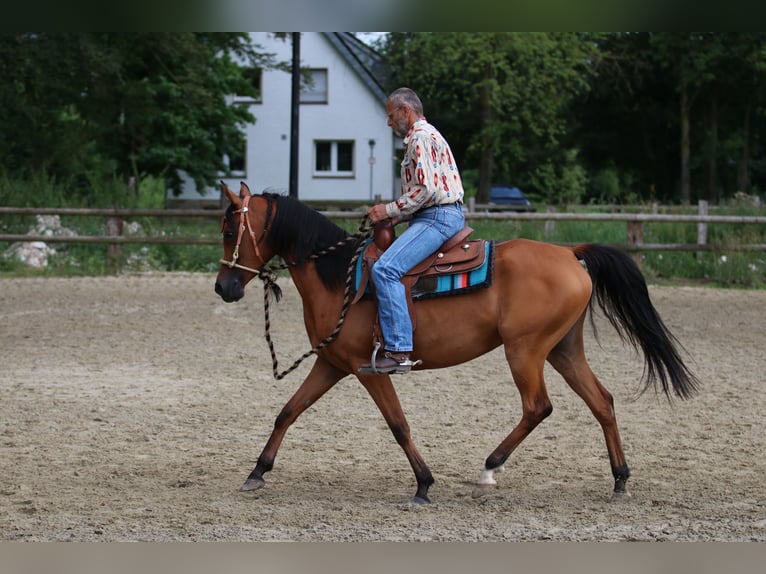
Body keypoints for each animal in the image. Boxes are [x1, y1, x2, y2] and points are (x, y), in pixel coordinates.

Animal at [213, 182, 700, 506]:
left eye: (228, 230)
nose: (223, 287)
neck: (341, 278)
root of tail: (569, 252)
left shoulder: (369, 370)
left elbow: (398, 425)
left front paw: (424, 484)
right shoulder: (331, 363)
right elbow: (288, 411)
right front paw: (257, 471)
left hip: (525, 350)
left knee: (538, 407)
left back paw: (490, 467)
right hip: (564, 350)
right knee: (602, 401)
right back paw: (619, 479)